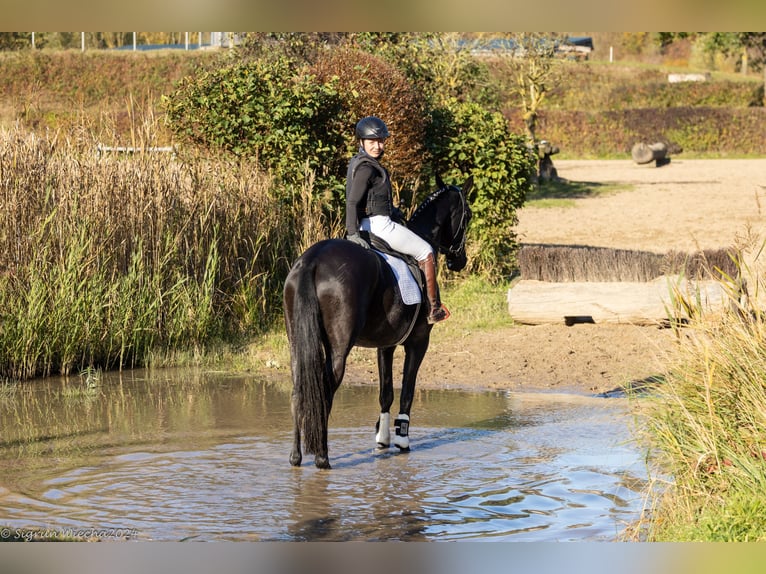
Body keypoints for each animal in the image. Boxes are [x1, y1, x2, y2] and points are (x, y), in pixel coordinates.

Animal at [284, 177, 472, 472]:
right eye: (469, 216)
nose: (459, 260)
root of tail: (312, 260)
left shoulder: (386, 345)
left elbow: (385, 393)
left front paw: (382, 439)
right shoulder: (418, 342)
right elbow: (406, 391)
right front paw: (402, 439)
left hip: (297, 346)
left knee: (298, 392)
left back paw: (296, 457)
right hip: (339, 351)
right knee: (323, 393)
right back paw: (323, 458)